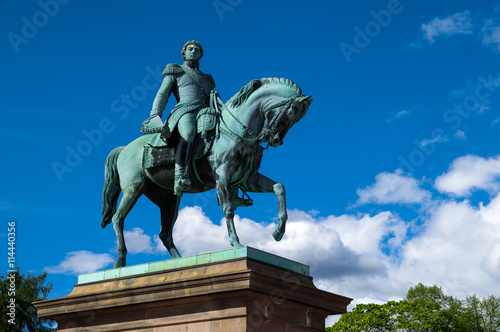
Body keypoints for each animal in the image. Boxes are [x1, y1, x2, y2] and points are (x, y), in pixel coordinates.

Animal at [100, 77, 312, 268]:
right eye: (292, 111)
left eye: (298, 117)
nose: (275, 139)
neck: (236, 129)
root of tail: (124, 148)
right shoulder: (223, 176)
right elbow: (227, 209)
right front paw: (236, 243)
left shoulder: (249, 179)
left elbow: (279, 188)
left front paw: (278, 230)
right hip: (133, 189)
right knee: (118, 219)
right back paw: (120, 259)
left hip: (168, 199)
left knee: (165, 233)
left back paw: (179, 261)